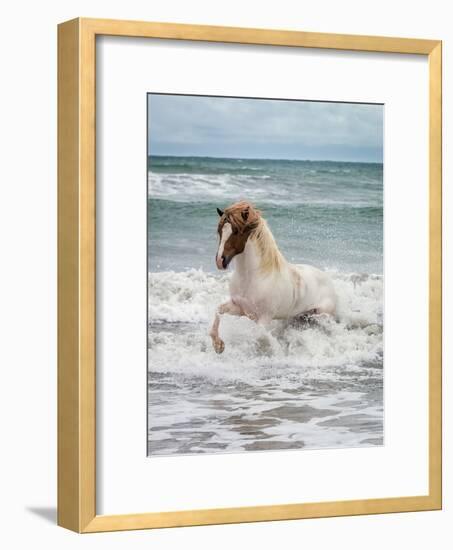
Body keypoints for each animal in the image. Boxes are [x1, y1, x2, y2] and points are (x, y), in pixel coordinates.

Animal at [209, 202, 336, 354]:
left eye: (236, 232)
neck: (252, 277)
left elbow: (259, 335)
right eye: (220, 231)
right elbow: (218, 311)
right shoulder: (240, 309)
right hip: (298, 317)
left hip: (321, 316)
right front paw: (218, 346)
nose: (220, 261)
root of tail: (329, 281)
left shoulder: (264, 317)